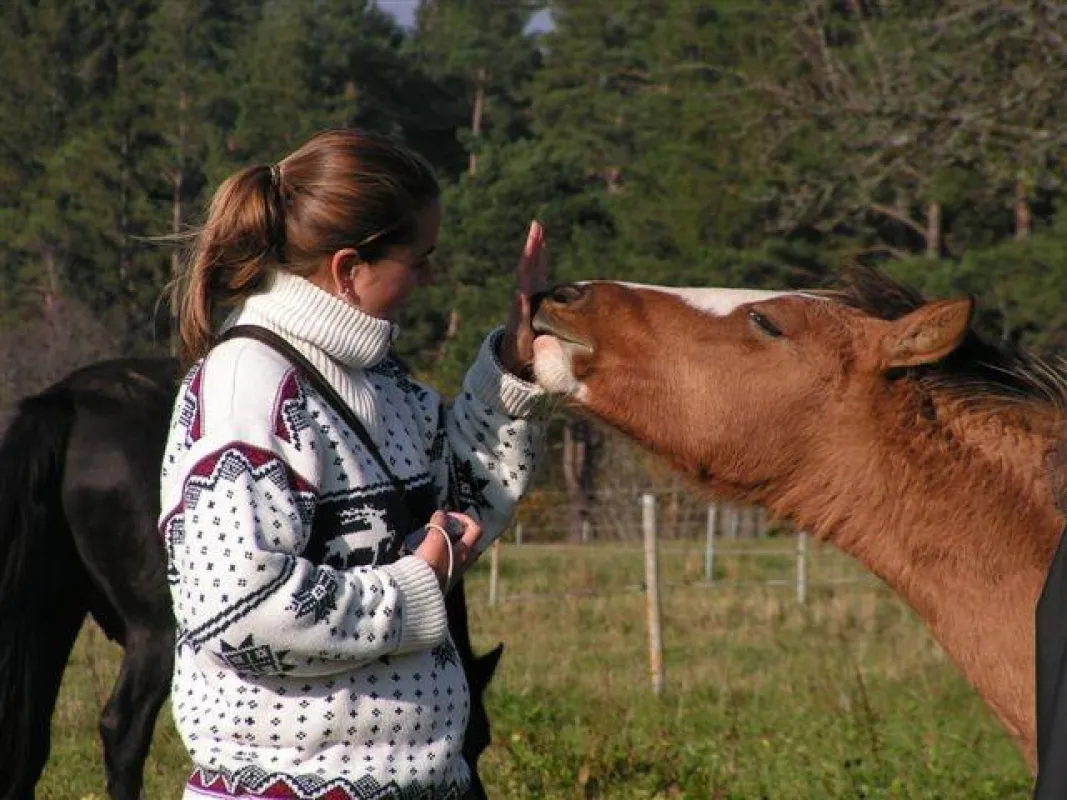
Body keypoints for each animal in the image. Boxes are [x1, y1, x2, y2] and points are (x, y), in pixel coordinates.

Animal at [0, 355, 503, 800]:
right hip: (157, 634)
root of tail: (67, 400)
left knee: (27, 744)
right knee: (122, 729)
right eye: (475, 738)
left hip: (51, 616)